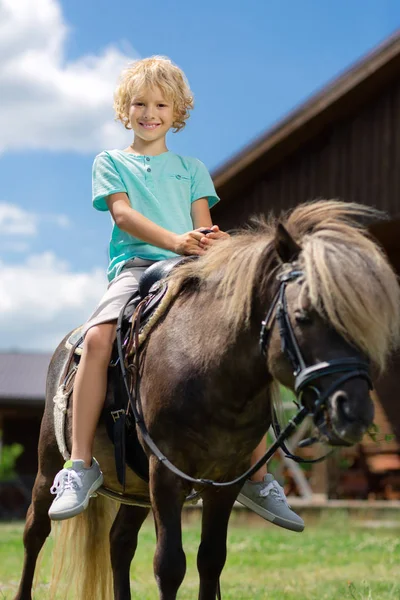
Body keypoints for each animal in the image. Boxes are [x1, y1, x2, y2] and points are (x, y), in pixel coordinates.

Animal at [14, 199, 400, 596]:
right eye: (303, 316)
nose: (355, 412)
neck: (207, 366)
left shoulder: (224, 480)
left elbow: (211, 560)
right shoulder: (165, 474)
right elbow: (169, 566)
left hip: (136, 487)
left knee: (119, 541)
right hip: (50, 465)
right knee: (35, 531)